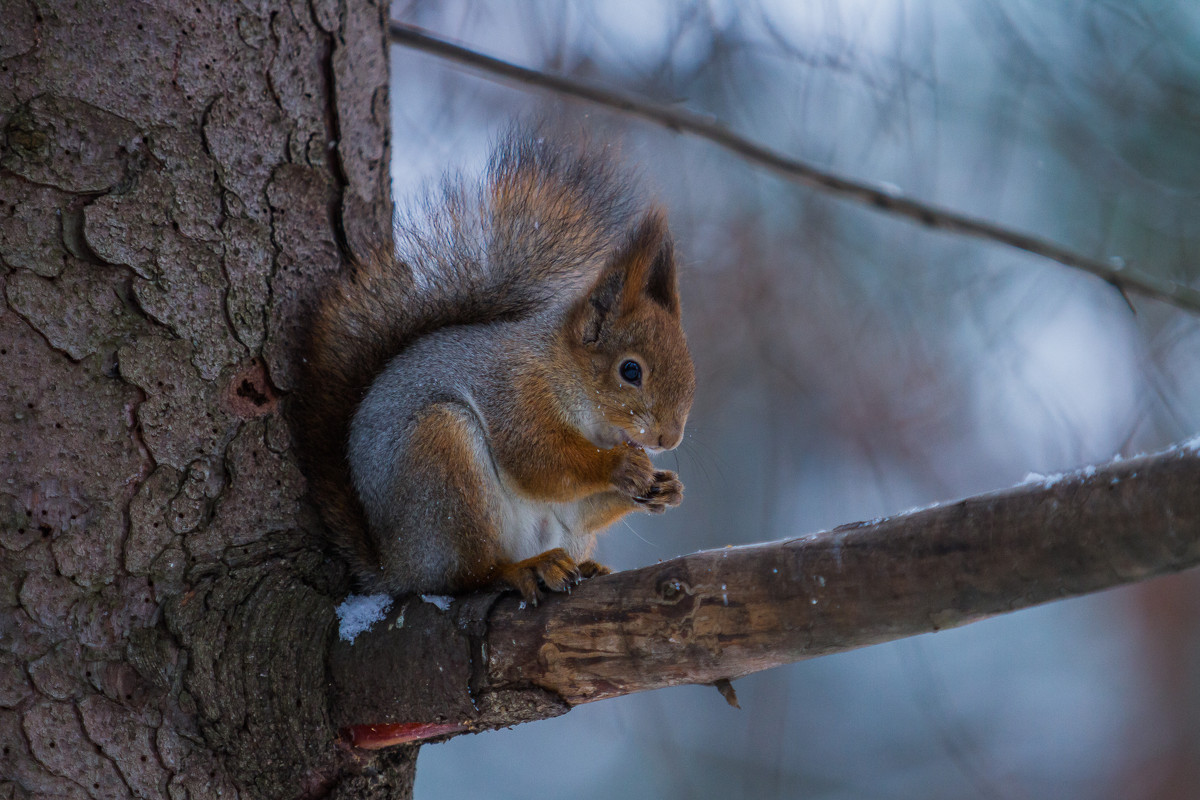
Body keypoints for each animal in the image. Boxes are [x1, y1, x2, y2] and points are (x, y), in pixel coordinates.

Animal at [291, 128, 700, 604]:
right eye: (630, 371)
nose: (669, 438)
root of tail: (394, 570)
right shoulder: (514, 390)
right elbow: (537, 459)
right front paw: (619, 466)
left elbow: (578, 506)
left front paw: (665, 487)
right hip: (442, 466)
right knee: (471, 574)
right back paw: (524, 569)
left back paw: (583, 565)